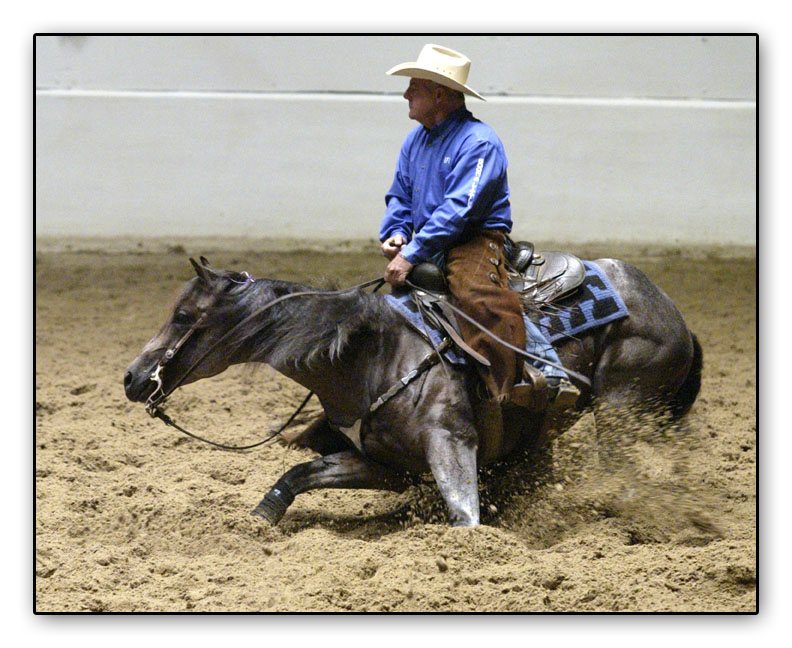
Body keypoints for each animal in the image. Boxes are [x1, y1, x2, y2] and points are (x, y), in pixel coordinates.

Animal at [124, 256, 702, 527]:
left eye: (184, 315)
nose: (132, 377)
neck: (372, 357)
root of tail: (672, 311)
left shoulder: (451, 445)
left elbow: (464, 514)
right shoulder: (389, 465)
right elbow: (298, 475)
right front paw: (259, 522)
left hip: (621, 410)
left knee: (621, 473)